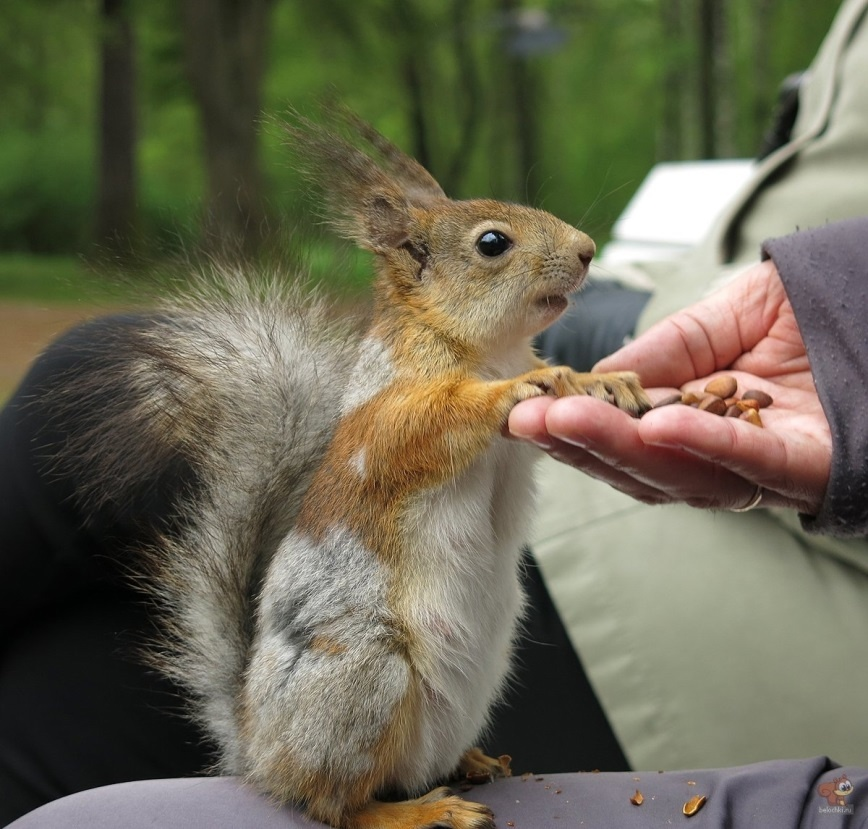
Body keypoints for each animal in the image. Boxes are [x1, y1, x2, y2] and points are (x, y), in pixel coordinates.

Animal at [50, 110, 648, 828]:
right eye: (492, 243)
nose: (587, 249)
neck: (489, 350)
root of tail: (258, 748)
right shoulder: (386, 416)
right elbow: (435, 424)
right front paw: (523, 386)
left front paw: (601, 381)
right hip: (365, 676)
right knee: (333, 802)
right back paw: (419, 812)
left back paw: (474, 761)